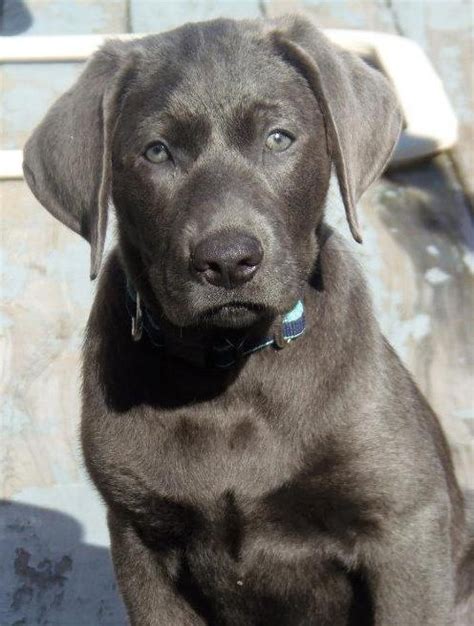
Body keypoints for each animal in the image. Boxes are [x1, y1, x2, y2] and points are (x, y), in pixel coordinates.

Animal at [21, 13, 470, 624]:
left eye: (278, 138)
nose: (229, 260)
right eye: (156, 152)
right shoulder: (140, 543)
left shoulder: (405, 528)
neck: (231, 369)